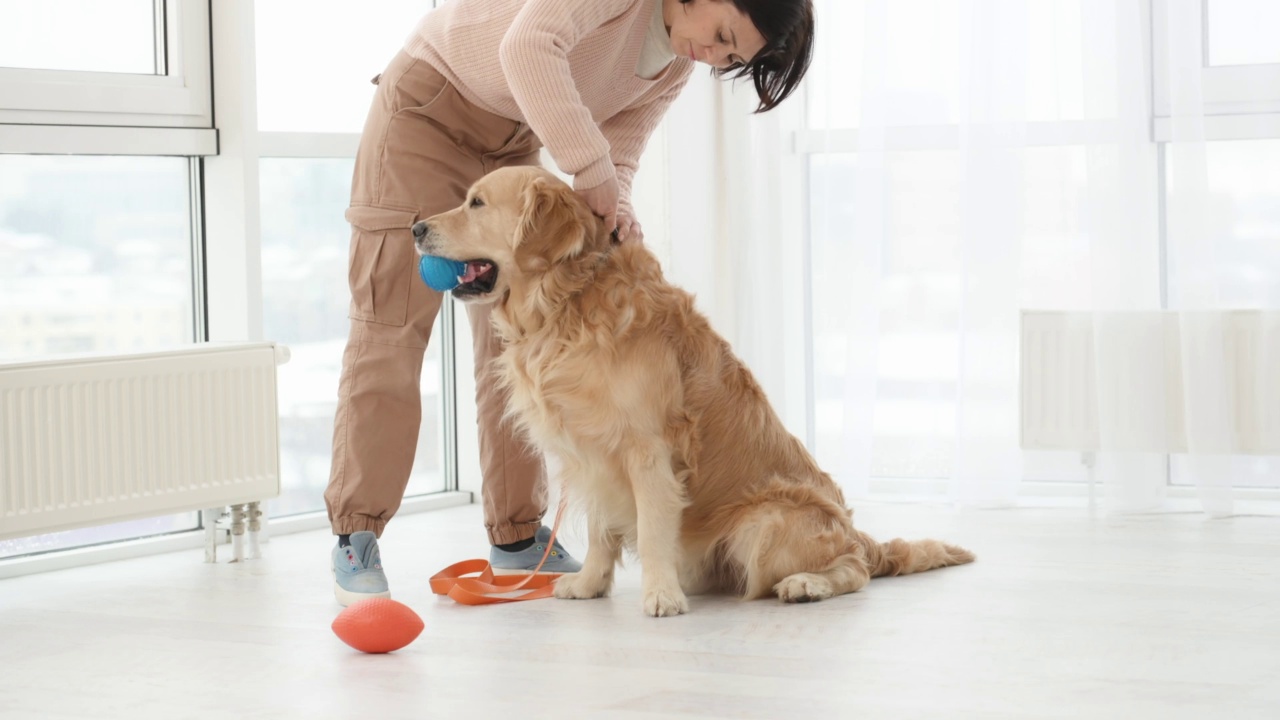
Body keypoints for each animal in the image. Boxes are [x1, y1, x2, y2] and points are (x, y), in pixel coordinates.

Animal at [414, 165, 972, 614]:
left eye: (477, 203)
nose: (416, 227)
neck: (568, 302)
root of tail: (859, 534)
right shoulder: (592, 454)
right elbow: (600, 532)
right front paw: (589, 585)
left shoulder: (647, 450)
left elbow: (652, 532)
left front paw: (661, 596)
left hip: (765, 523)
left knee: (854, 569)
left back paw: (806, 584)